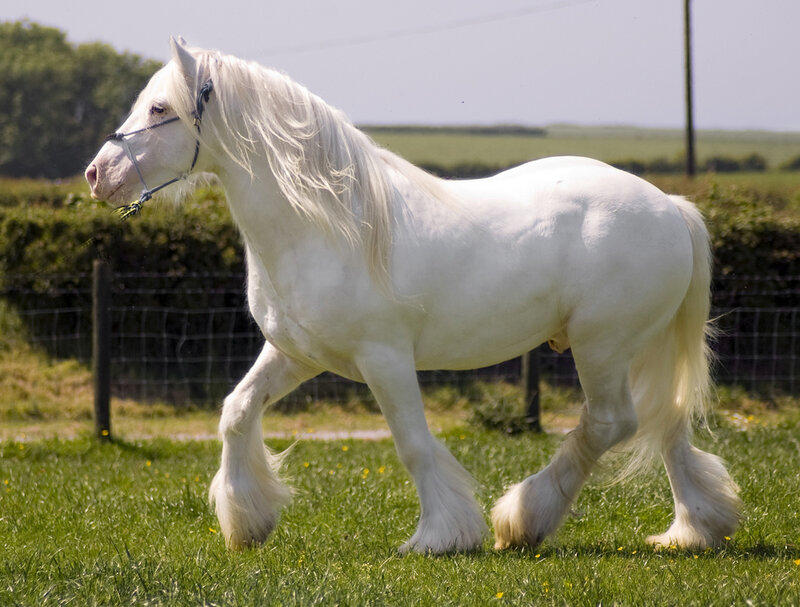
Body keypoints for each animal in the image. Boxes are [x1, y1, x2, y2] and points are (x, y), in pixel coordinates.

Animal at [85, 38, 741, 554]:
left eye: (160, 107)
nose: (97, 175)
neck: (324, 224)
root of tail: (670, 207)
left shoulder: (386, 359)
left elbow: (413, 445)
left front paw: (439, 536)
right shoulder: (296, 355)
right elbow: (237, 411)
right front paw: (247, 522)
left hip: (600, 345)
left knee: (611, 423)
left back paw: (524, 519)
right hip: (640, 346)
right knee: (666, 422)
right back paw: (693, 530)